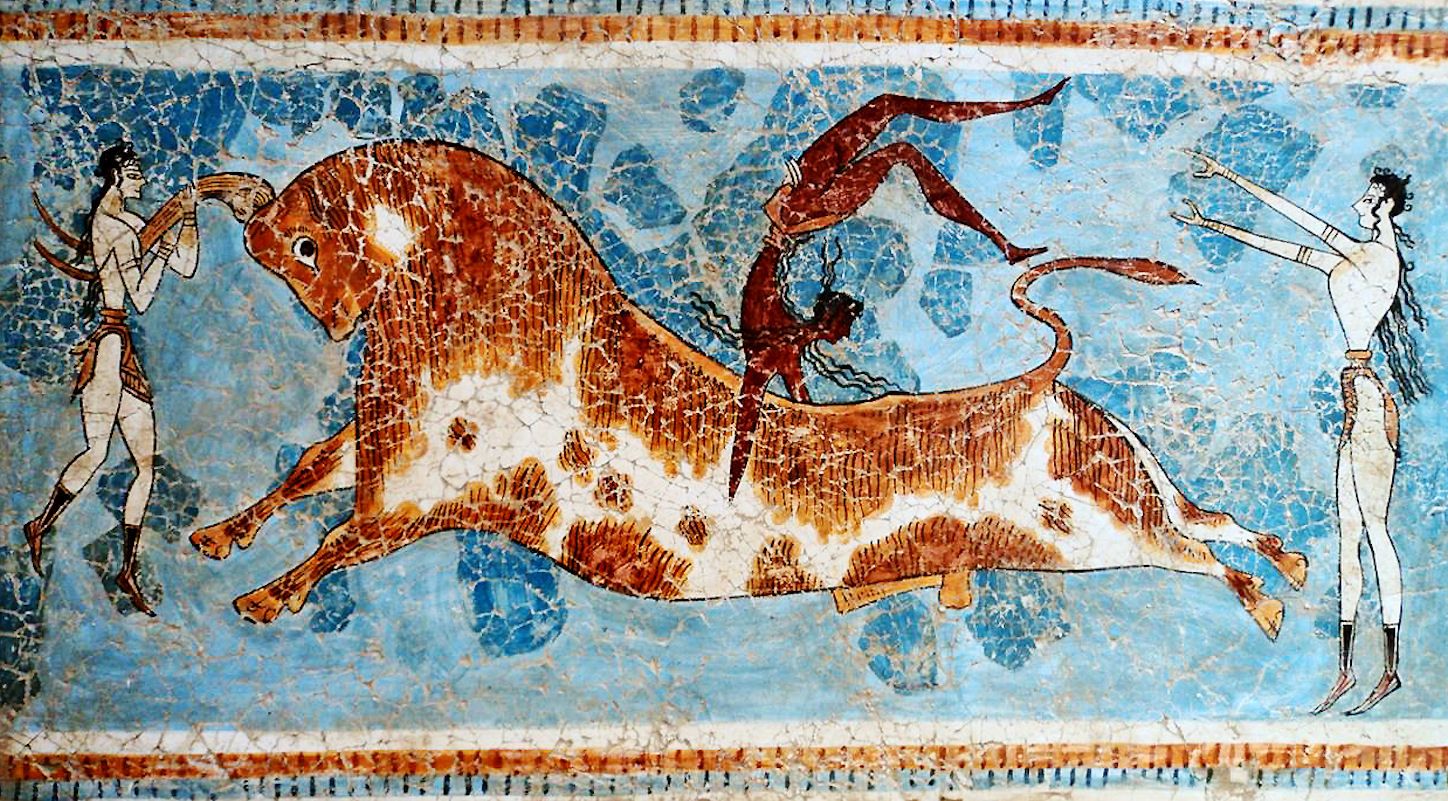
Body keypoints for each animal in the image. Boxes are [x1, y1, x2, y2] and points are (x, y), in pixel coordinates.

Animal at [189, 140, 1307, 640]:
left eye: (305, 244)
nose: (331, 320)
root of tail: (1048, 382)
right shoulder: (380, 454)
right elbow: (304, 474)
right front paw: (216, 538)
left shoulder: (425, 494)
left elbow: (338, 538)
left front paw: (262, 596)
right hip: (1117, 497)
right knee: (1204, 516)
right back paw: (1289, 565)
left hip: (1099, 531)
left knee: (1193, 549)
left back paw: (1265, 603)